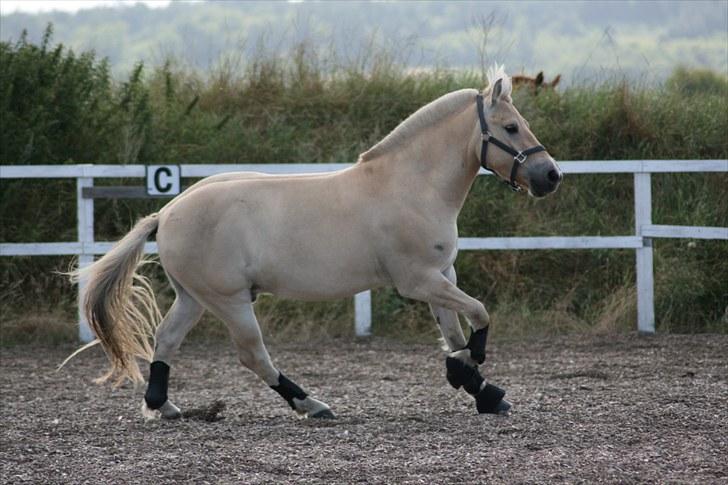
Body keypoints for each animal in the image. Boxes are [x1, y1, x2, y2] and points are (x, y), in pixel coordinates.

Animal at [71, 65, 564, 420]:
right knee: (253, 355)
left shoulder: (442, 274)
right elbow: (479, 316)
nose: (551, 177)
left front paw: (482, 390)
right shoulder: (418, 280)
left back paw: (163, 405)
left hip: (193, 297)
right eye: (511, 127)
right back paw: (312, 404)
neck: (412, 186)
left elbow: (454, 332)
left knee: (167, 340)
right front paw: (473, 368)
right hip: (229, 300)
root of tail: (167, 213)